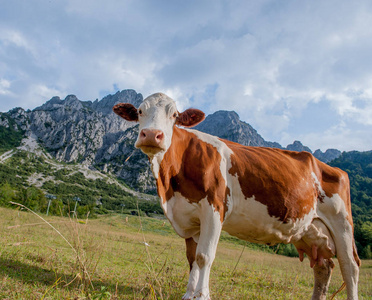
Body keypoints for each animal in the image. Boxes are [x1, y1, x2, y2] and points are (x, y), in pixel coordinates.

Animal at [113, 93, 360, 300]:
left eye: (174, 115)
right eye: (140, 112)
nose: (152, 135)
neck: (170, 186)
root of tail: (330, 167)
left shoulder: (214, 209)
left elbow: (204, 256)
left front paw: (202, 296)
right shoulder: (189, 217)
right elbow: (192, 258)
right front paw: (188, 294)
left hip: (342, 224)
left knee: (350, 267)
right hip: (311, 229)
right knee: (323, 267)